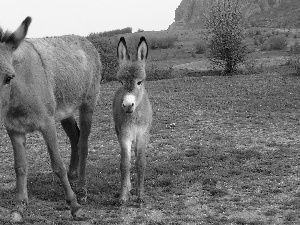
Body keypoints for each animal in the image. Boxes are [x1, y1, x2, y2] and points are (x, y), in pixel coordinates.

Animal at [0, 17, 101, 221]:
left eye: (8, 78)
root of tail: (85, 40)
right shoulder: (13, 128)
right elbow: (20, 167)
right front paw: (19, 208)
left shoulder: (47, 124)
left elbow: (57, 165)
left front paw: (74, 206)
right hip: (66, 111)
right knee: (75, 138)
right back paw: (73, 175)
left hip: (87, 105)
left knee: (84, 144)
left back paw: (82, 190)